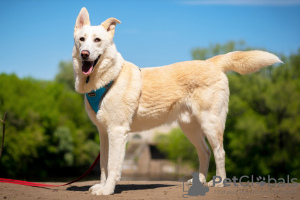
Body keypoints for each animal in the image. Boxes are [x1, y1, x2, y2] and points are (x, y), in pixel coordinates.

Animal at [72, 7, 282, 195]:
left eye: (97, 40)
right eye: (81, 39)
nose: (84, 54)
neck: (106, 80)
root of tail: (211, 63)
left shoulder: (117, 131)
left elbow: (113, 165)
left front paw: (107, 190)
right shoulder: (103, 133)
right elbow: (103, 166)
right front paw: (101, 186)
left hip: (211, 122)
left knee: (220, 152)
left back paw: (219, 182)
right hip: (190, 127)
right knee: (205, 152)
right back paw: (200, 180)